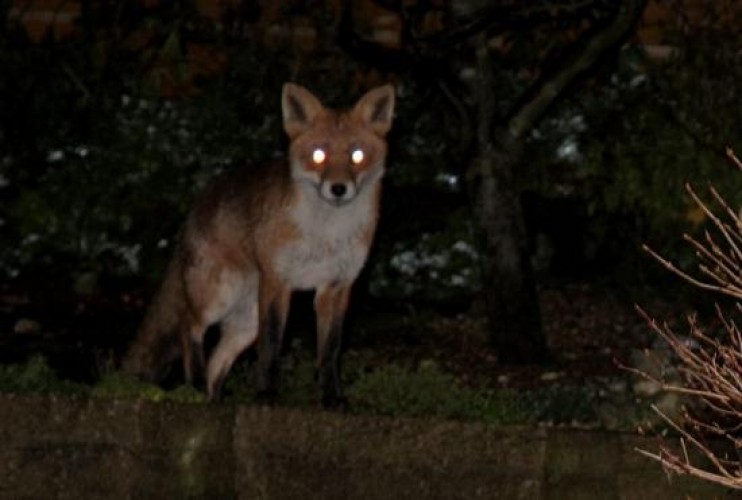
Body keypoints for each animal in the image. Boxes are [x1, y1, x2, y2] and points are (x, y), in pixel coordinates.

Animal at [123, 82, 396, 406]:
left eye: (357, 155)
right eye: (318, 155)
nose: (338, 189)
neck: (325, 234)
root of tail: (195, 207)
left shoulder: (336, 287)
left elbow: (329, 351)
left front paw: (332, 398)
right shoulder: (277, 280)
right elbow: (271, 346)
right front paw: (266, 394)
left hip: (245, 323)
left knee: (216, 361)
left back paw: (213, 400)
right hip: (217, 295)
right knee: (188, 327)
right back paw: (196, 388)